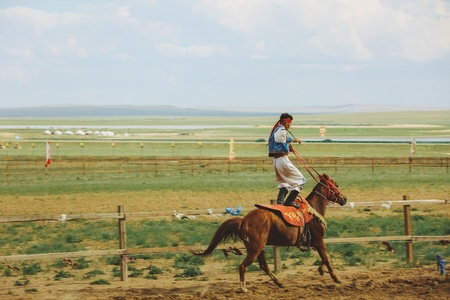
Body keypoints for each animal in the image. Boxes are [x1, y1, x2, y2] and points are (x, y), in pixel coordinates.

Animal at [190, 173, 348, 292]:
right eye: (336, 185)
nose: (344, 198)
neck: (312, 209)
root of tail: (243, 220)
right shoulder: (319, 240)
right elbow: (326, 258)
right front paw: (336, 278)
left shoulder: (315, 242)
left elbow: (324, 258)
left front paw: (321, 270)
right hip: (255, 248)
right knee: (243, 266)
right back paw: (243, 288)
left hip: (258, 248)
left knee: (263, 266)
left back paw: (279, 282)